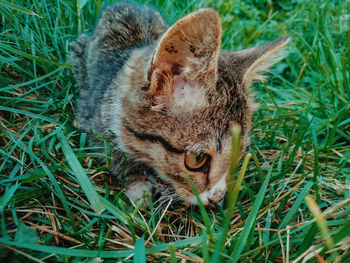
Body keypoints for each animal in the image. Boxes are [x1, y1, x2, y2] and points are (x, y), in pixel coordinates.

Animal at [69, 2, 288, 207]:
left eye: (238, 155)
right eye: (197, 159)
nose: (217, 199)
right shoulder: (89, 119)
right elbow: (111, 154)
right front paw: (138, 188)